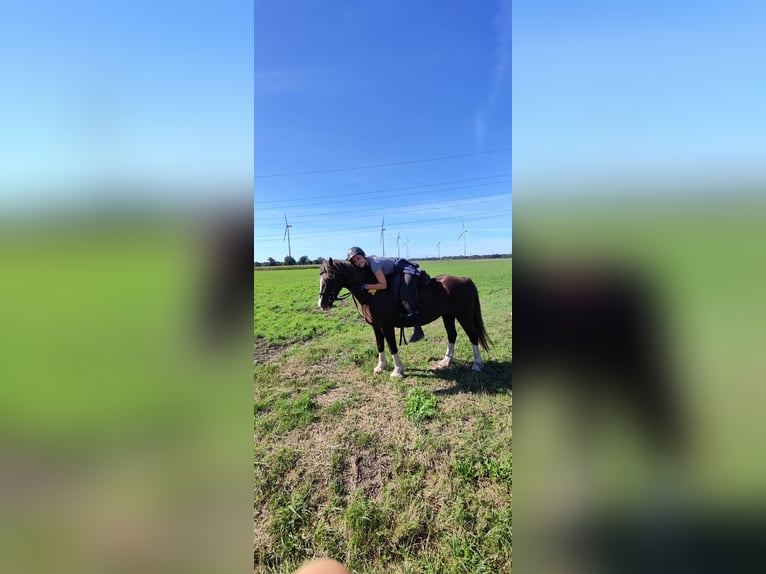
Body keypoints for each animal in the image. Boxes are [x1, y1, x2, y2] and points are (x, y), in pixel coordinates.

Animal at [317, 258, 492, 378]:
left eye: (329, 278)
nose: (321, 303)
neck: (373, 293)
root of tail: (465, 279)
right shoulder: (376, 327)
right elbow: (380, 346)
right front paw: (381, 367)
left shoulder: (387, 326)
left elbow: (392, 346)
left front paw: (397, 370)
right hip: (448, 316)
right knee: (452, 335)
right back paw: (446, 361)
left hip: (464, 316)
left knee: (472, 335)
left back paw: (477, 364)